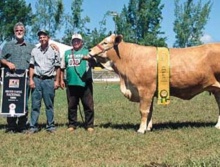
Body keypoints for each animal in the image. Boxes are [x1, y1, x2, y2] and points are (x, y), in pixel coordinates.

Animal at [88, 34, 220, 134]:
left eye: (105, 42)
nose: (89, 51)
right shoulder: (150, 91)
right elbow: (150, 110)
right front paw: (148, 127)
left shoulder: (145, 89)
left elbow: (143, 110)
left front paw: (141, 130)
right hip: (217, 90)